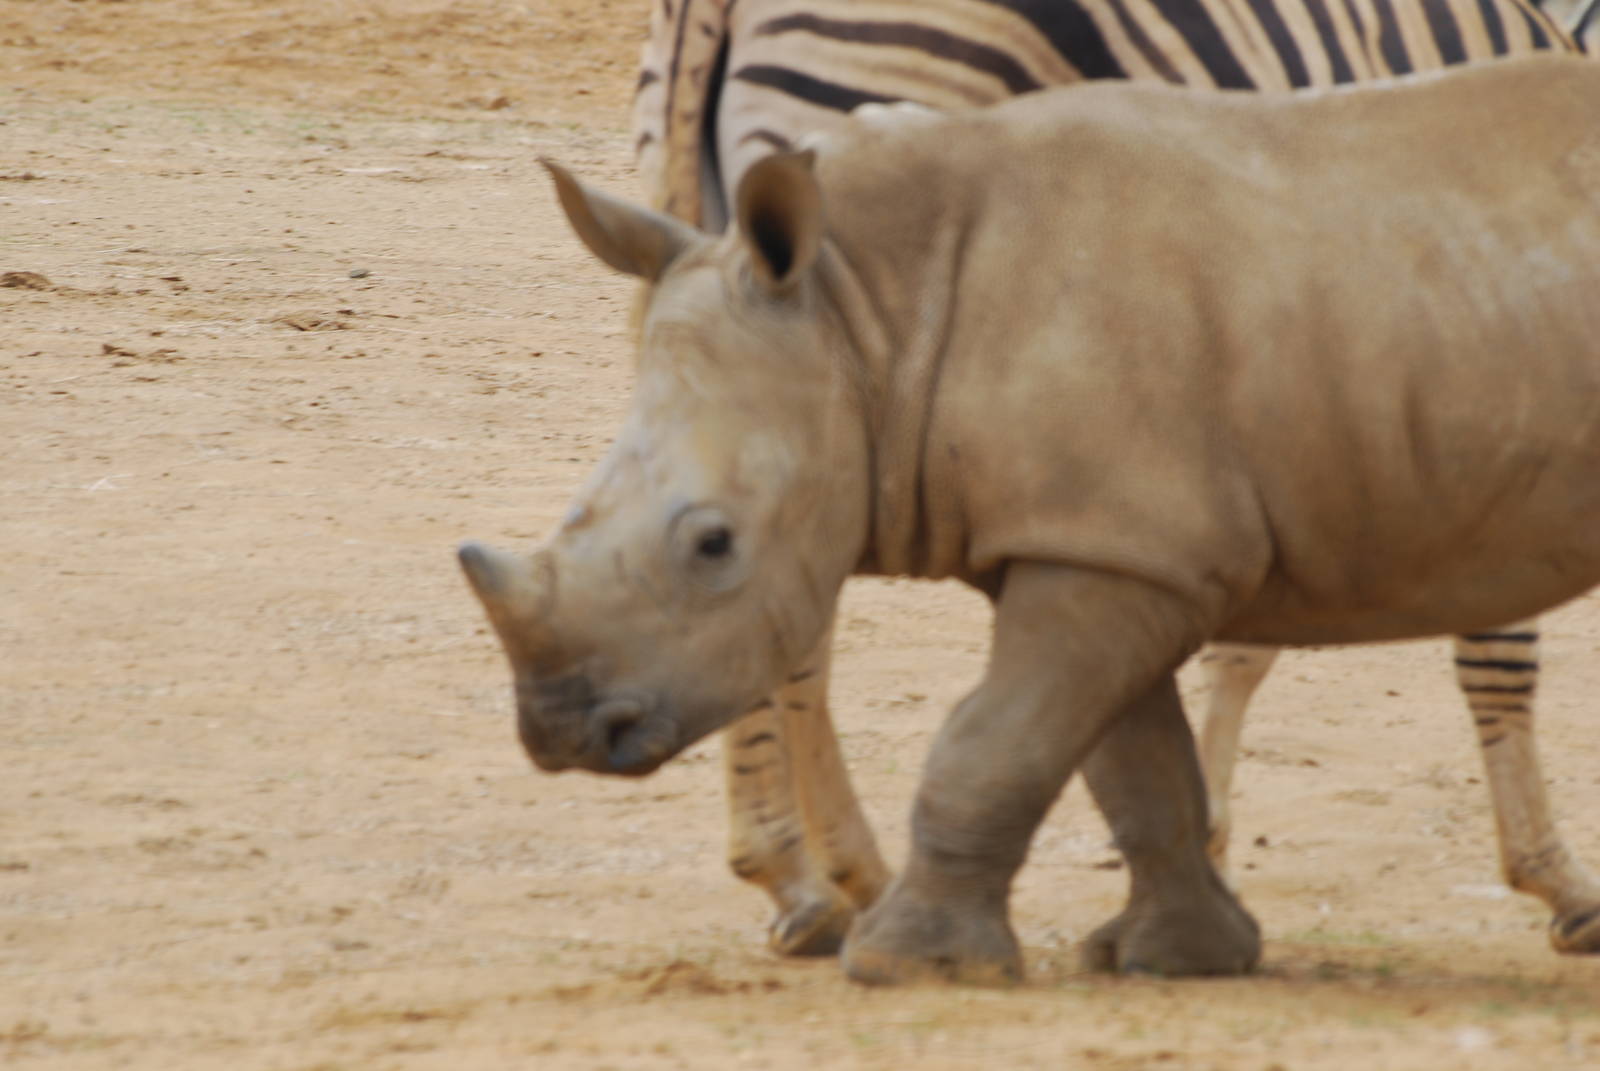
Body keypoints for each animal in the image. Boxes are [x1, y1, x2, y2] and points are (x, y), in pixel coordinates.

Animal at [460, 54, 1600, 985]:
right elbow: (1132, 764)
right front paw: (1176, 956)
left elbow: (990, 745)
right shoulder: (1111, 541)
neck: (868, 317)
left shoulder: (1115, 549)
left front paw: (905, 964)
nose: (559, 730)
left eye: (712, 545)